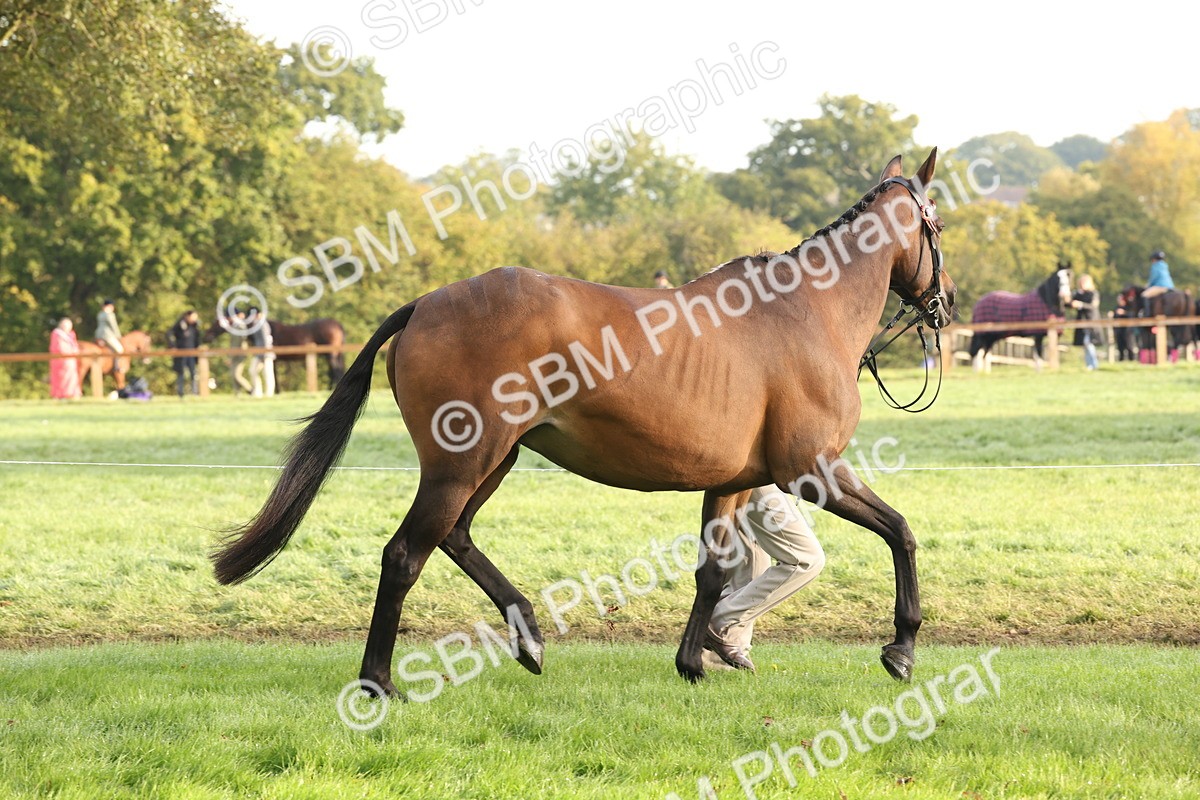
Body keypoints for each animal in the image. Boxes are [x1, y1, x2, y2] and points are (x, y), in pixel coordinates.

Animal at [204, 317, 346, 385]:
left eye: (218, 322)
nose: (207, 336)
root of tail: (337, 324)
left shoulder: (273, 360)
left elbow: (275, 378)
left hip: (331, 354)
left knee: (335, 371)